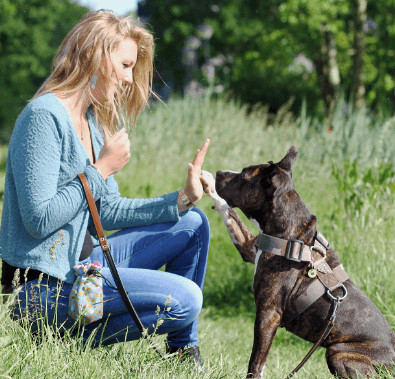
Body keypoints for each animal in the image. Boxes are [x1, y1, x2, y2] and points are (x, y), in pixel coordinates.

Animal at [201, 146, 395, 379]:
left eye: (244, 174)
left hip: (339, 353)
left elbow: (256, 361)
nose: (220, 172)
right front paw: (207, 182)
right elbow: (230, 214)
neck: (290, 237)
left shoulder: (268, 314)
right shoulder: (249, 247)